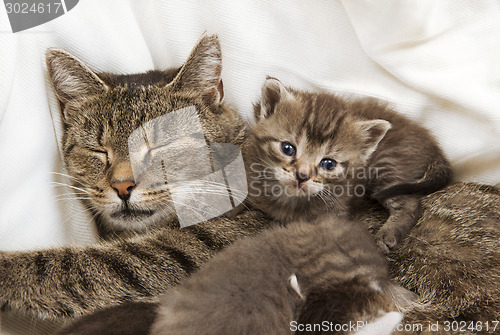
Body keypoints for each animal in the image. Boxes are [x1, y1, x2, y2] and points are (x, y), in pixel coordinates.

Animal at [244, 78, 452, 252]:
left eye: (328, 163)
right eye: (287, 148)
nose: (302, 176)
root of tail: (433, 145)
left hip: (386, 166)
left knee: (410, 204)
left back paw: (388, 234)